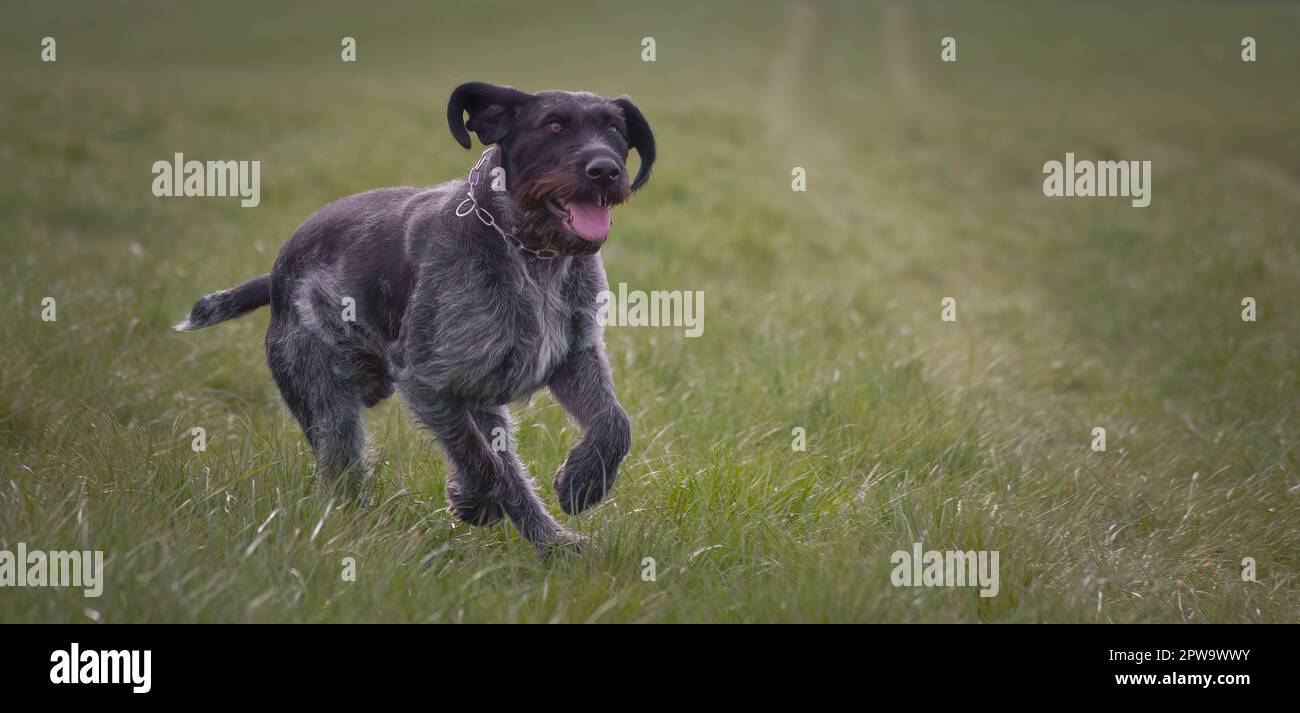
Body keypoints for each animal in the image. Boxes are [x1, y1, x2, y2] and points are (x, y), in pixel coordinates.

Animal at [178, 85, 655, 551]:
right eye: (554, 126)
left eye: (613, 129)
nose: (605, 170)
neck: (532, 253)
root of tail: (276, 274)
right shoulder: (428, 381)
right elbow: (479, 460)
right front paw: (477, 500)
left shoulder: (574, 356)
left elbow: (614, 424)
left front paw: (583, 482)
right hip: (329, 406)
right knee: (346, 473)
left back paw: (553, 543)